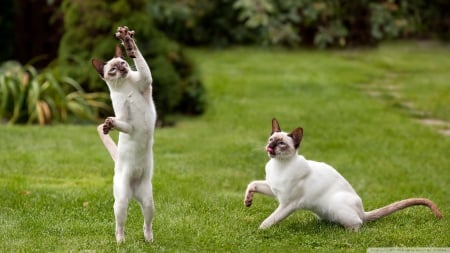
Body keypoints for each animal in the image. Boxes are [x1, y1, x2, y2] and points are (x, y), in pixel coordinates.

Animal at [91, 26, 156, 242]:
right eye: (112, 70)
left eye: (123, 62)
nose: (122, 69)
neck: (125, 85)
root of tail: (133, 194)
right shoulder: (126, 121)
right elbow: (118, 122)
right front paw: (107, 125)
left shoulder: (146, 81)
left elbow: (141, 61)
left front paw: (128, 43)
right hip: (121, 203)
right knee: (119, 226)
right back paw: (121, 242)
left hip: (148, 202)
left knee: (147, 224)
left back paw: (149, 240)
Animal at [244, 117, 442, 230]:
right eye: (271, 139)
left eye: (281, 144)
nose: (270, 147)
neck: (279, 165)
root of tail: (362, 211)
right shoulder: (273, 189)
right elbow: (252, 183)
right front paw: (248, 201)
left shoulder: (288, 203)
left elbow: (270, 220)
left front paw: (260, 230)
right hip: (324, 210)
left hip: (337, 205)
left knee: (359, 224)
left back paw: (348, 233)